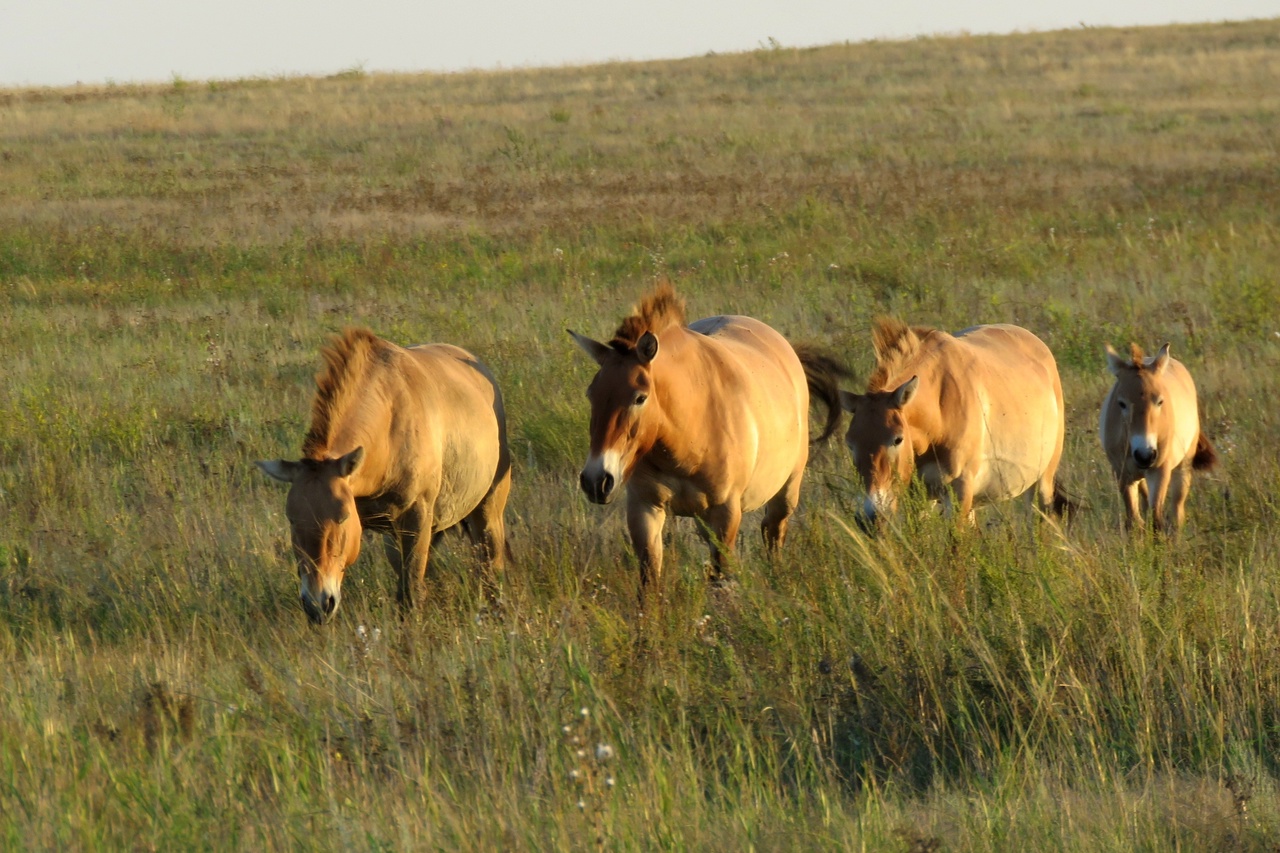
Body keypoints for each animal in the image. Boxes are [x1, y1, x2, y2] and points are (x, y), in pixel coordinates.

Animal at [256, 328, 511, 624]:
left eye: (342, 517)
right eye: (292, 520)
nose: (318, 605)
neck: (389, 425)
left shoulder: (416, 520)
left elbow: (412, 593)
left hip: (487, 513)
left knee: (491, 570)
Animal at [568, 281, 847, 603]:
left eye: (640, 397)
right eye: (591, 394)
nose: (595, 480)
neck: (687, 437)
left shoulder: (726, 513)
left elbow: (719, 574)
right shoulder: (644, 507)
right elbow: (649, 582)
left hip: (786, 491)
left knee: (773, 531)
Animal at [839, 319, 1069, 525]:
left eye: (897, 439)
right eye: (850, 444)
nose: (870, 516)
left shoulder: (960, 491)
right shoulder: (920, 497)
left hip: (1042, 484)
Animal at [1099, 342, 1217, 533]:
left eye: (1160, 401)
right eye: (1121, 403)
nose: (1145, 455)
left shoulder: (1160, 470)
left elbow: (1157, 519)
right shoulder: (1122, 473)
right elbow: (1133, 521)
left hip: (1183, 467)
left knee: (1177, 512)